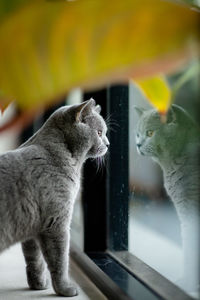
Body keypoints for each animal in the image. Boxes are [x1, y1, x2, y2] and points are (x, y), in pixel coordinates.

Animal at [0, 99, 109, 296]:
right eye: (99, 133)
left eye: (105, 133)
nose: (108, 144)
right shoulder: (57, 223)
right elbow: (59, 260)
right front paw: (65, 289)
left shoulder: (32, 226)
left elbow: (35, 260)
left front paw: (38, 284)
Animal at [135, 104, 199, 294]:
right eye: (137, 134)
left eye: (150, 133)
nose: (138, 144)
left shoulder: (190, 210)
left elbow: (190, 246)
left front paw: (188, 284)